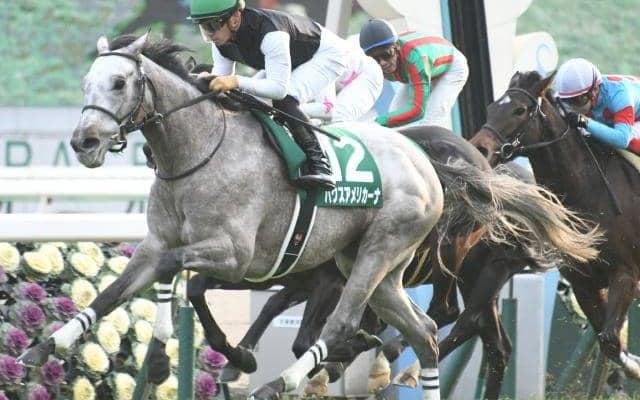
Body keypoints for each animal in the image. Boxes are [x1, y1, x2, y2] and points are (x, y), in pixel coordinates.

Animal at [17, 33, 599, 400]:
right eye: (87, 84)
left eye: (119, 83)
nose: (84, 141)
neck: (198, 153)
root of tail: (433, 165)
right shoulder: (164, 246)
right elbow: (116, 292)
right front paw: (44, 347)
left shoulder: (236, 255)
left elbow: (185, 278)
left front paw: (199, 360)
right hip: (375, 268)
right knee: (428, 332)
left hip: (386, 254)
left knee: (364, 321)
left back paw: (286, 380)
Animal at [470, 70, 640, 382]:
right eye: (491, 107)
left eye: (519, 110)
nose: (479, 148)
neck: (588, 191)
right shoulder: (582, 281)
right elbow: (608, 342)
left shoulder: (625, 273)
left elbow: (612, 338)